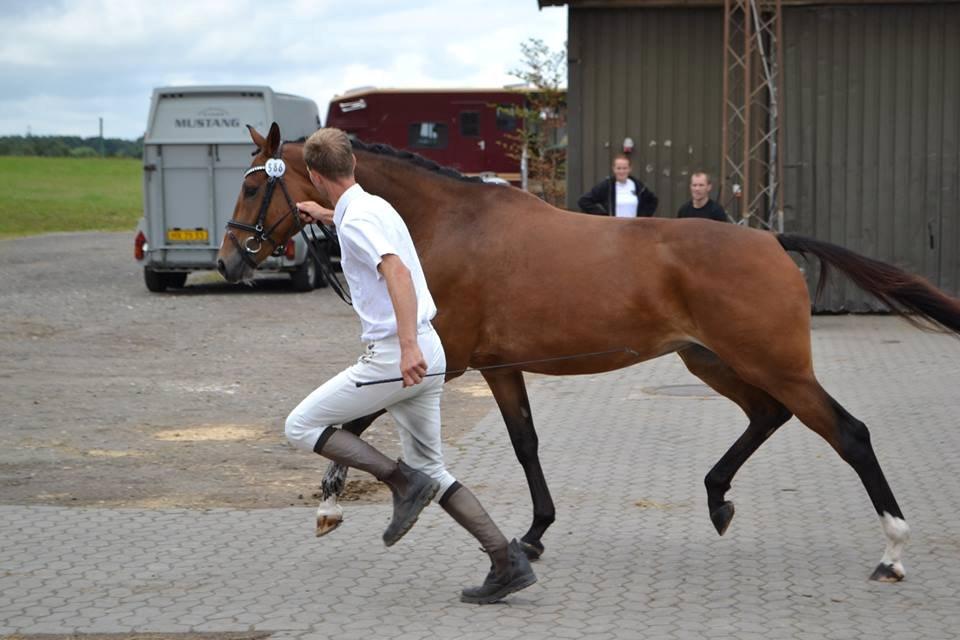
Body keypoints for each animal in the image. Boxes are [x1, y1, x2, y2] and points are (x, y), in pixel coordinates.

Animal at [218, 122, 960, 584]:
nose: (229, 261)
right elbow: (525, 444)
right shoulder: (500, 367)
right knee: (767, 416)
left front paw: (330, 504)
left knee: (849, 433)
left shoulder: (441, 360)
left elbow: (350, 423)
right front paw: (534, 534)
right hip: (711, 361)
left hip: (774, 364)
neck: (450, 224)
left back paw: (892, 552)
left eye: (254, 186)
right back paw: (717, 499)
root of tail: (771, 240)